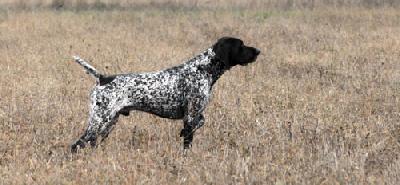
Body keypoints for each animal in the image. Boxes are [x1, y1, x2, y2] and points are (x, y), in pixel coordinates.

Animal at [70, 36, 260, 152]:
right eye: (241, 45)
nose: (258, 51)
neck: (203, 69)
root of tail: (102, 78)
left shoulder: (194, 115)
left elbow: (201, 122)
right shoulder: (191, 115)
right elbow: (188, 140)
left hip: (109, 122)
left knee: (91, 143)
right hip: (99, 120)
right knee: (77, 144)